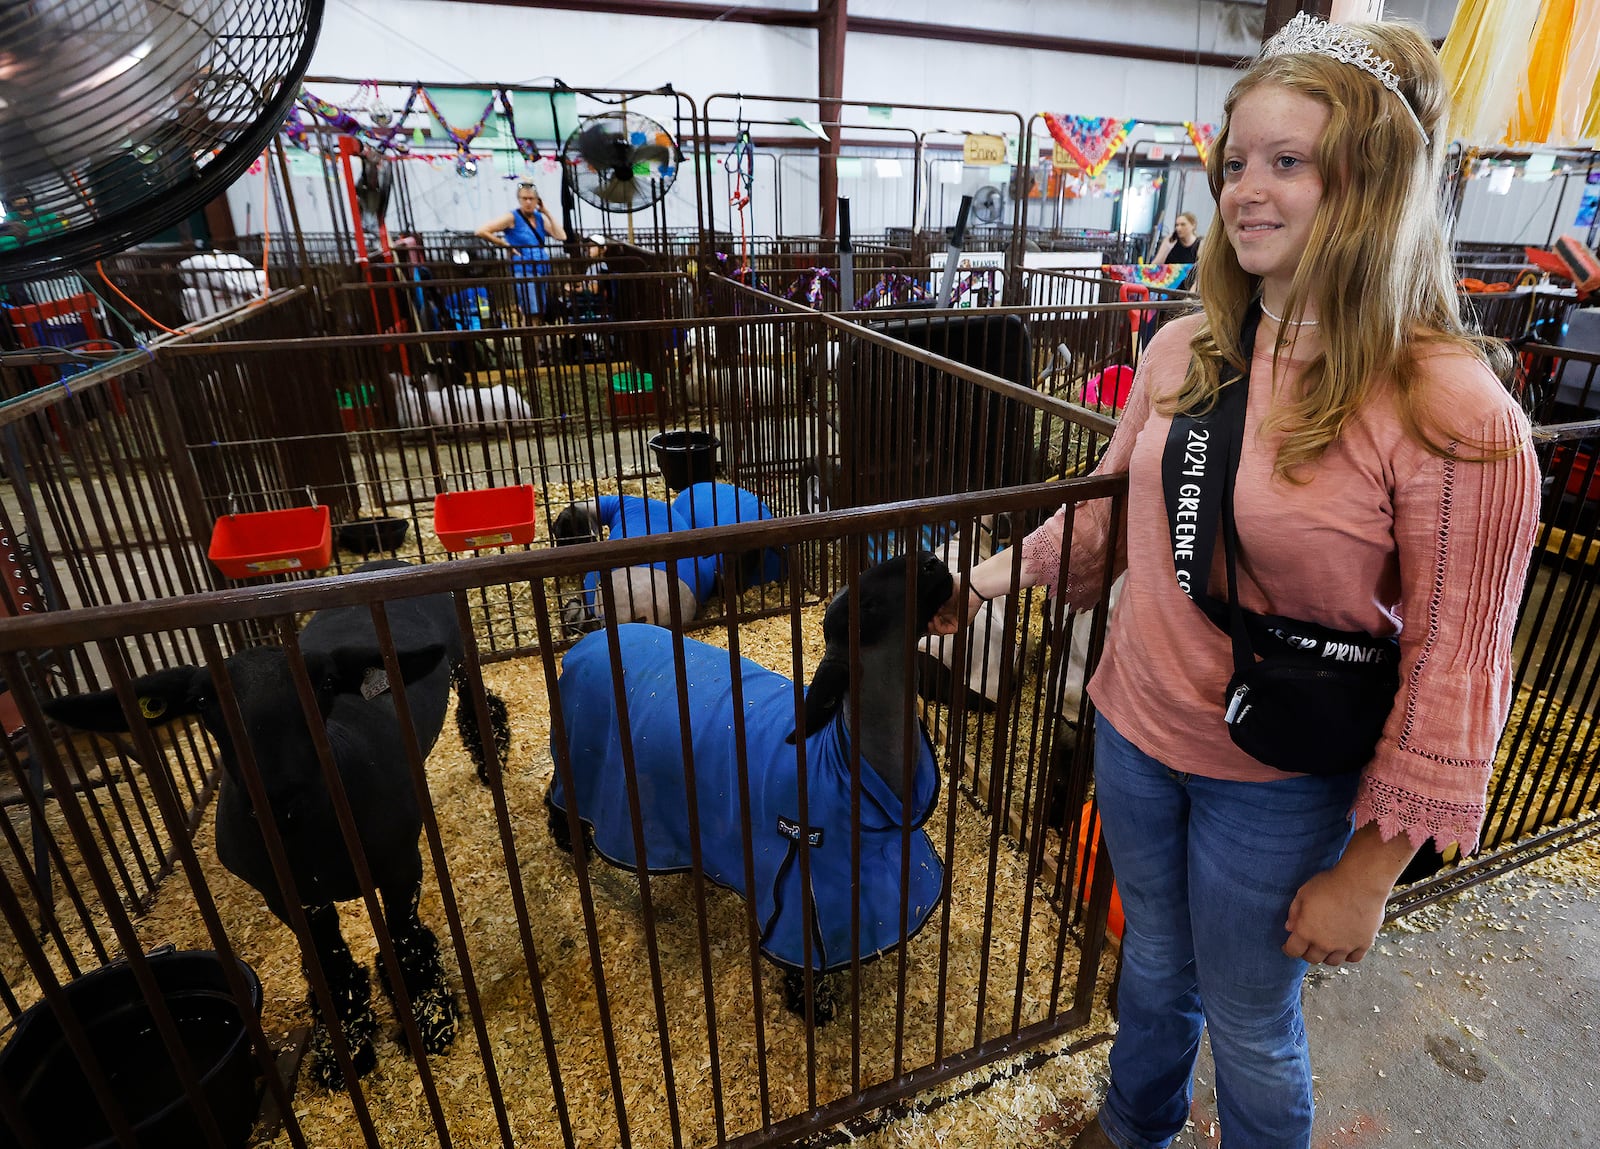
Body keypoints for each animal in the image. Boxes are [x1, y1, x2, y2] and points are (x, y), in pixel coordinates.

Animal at [43, 563, 508, 1094]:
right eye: (202, 700)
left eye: (325, 684)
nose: (276, 788)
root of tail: (381, 567)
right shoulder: (289, 896)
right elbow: (329, 966)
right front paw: (343, 1051)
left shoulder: (400, 865)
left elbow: (406, 939)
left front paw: (431, 1022)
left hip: (459, 656)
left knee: (477, 699)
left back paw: (492, 762)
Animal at [547, 553, 947, 1024]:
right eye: (866, 605)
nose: (933, 562)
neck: (844, 761)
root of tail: (584, 646)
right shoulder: (801, 896)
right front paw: (813, 1009)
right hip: (578, 757)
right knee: (556, 797)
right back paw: (570, 843)